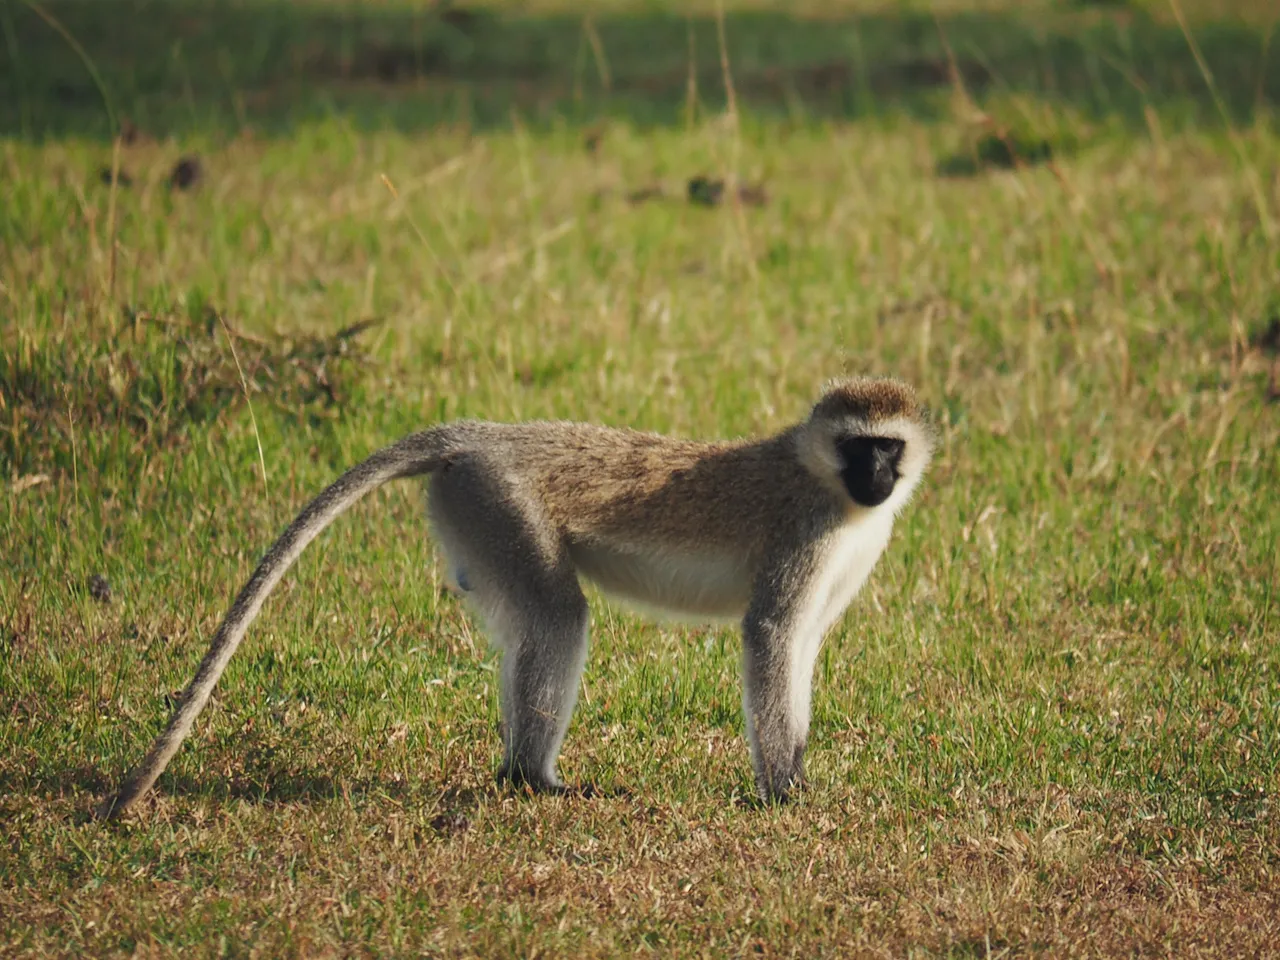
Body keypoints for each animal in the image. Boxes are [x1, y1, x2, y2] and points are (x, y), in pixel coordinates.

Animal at [98, 376, 936, 819]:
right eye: (859, 446)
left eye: (887, 447)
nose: (877, 478)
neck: (831, 487)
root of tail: (486, 437)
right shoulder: (806, 535)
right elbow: (770, 635)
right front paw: (784, 792)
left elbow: (802, 645)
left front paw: (797, 775)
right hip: (500, 503)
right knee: (559, 619)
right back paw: (534, 779)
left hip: (471, 515)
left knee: (535, 625)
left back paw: (518, 774)